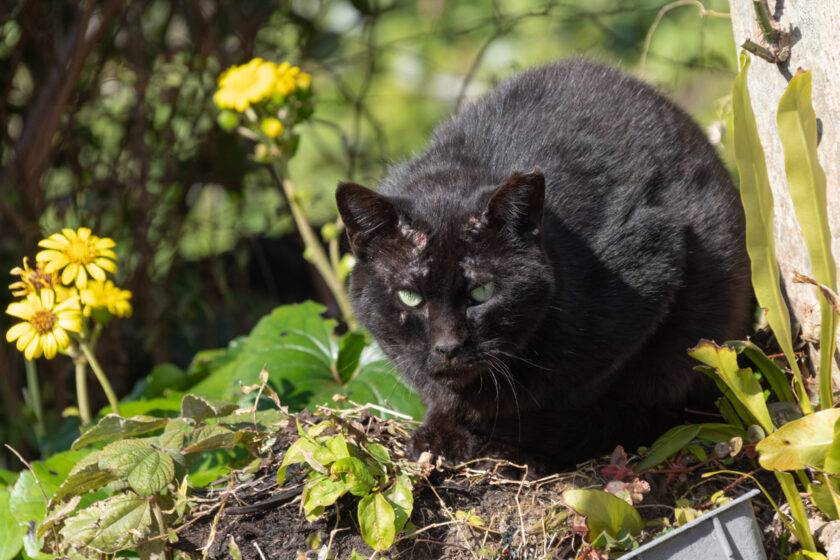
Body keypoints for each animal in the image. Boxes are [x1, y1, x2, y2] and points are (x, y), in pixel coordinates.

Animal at [334, 59, 748, 470]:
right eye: (409, 297)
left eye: (482, 292)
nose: (448, 347)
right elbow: (439, 392)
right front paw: (441, 436)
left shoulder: (650, 278)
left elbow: (557, 397)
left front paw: (511, 446)